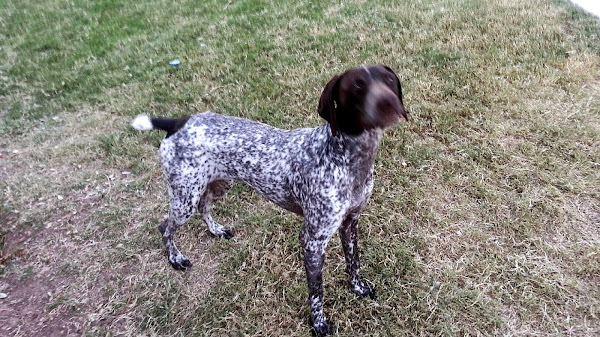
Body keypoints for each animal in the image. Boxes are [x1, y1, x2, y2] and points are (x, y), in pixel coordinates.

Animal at [131, 63, 408, 334]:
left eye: (388, 80)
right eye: (357, 86)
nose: (388, 102)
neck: (347, 156)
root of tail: (178, 121)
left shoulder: (350, 223)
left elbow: (353, 262)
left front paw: (358, 288)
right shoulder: (313, 240)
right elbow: (316, 291)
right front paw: (318, 323)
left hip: (218, 184)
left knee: (204, 206)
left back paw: (216, 229)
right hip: (184, 197)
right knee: (166, 227)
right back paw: (175, 258)